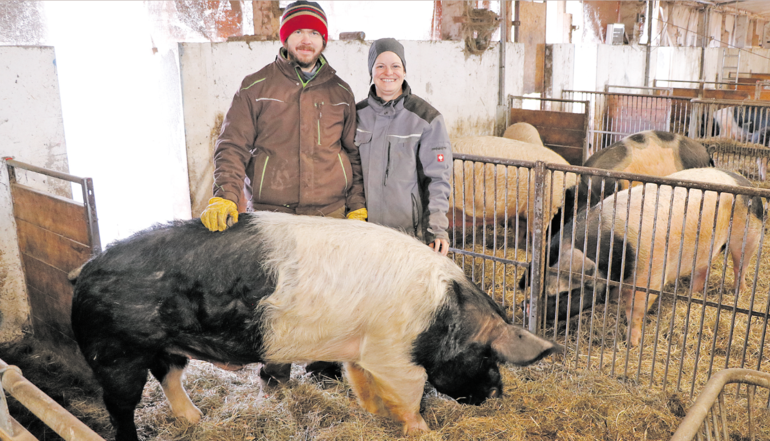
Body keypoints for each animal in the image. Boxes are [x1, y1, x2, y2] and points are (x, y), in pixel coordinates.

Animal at [528, 167, 756, 346]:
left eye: (567, 293)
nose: (527, 309)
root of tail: (745, 181)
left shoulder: (649, 276)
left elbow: (635, 309)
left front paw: (632, 344)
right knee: (703, 269)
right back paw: (692, 293)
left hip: (749, 235)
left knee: (741, 266)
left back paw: (740, 292)